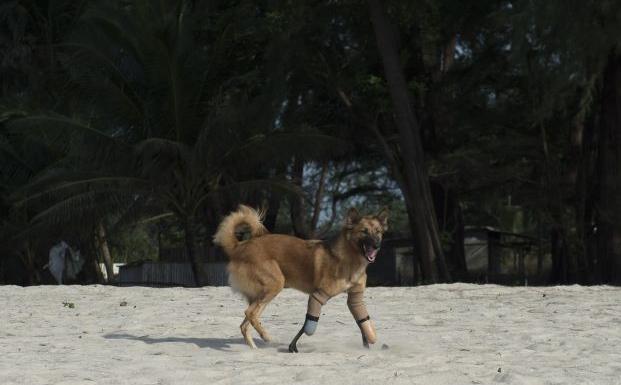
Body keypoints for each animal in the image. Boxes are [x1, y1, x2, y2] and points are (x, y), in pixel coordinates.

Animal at [213, 204, 388, 352]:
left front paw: (368, 344)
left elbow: (362, 322)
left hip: (263, 294)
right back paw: (266, 337)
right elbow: (308, 324)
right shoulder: (318, 295)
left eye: (378, 232)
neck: (349, 258)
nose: (377, 246)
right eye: (364, 231)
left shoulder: (355, 297)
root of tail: (240, 246)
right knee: (249, 313)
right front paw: (292, 346)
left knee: (245, 324)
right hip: (275, 284)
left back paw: (254, 349)